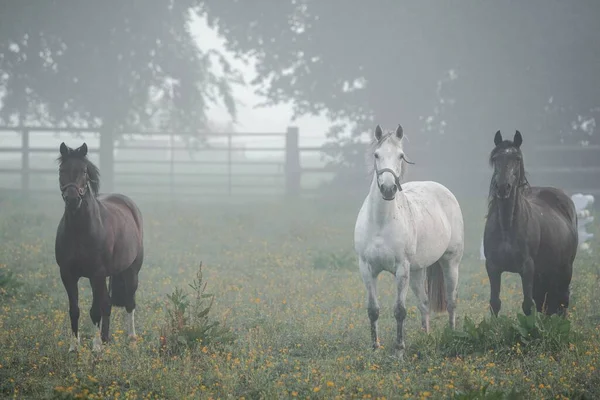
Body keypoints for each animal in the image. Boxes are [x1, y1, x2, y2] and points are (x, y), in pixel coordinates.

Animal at [55, 142, 144, 352]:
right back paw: (106, 338)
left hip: (131, 271)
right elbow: (75, 310)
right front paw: (74, 347)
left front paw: (95, 348)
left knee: (129, 302)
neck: (80, 230)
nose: (72, 199)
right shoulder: (67, 274)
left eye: (84, 171)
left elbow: (95, 310)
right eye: (62, 170)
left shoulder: (96, 274)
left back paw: (131, 340)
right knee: (108, 304)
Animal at [354, 125, 466, 360]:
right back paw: (426, 336)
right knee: (424, 304)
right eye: (376, 155)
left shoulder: (401, 269)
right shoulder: (367, 269)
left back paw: (452, 335)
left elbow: (399, 311)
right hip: (417, 271)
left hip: (450, 263)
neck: (381, 222)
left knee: (452, 302)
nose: (388, 189)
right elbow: (373, 310)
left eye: (401, 155)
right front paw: (375, 348)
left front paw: (398, 351)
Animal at [482, 131, 576, 318]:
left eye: (517, 158)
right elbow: (495, 303)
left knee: (562, 301)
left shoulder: (527, 268)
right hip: (544, 273)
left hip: (565, 269)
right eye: (495, 158)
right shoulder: (493, 267)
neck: (507, 227)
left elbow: (527, 306)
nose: (502, 187)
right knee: (546, 303)